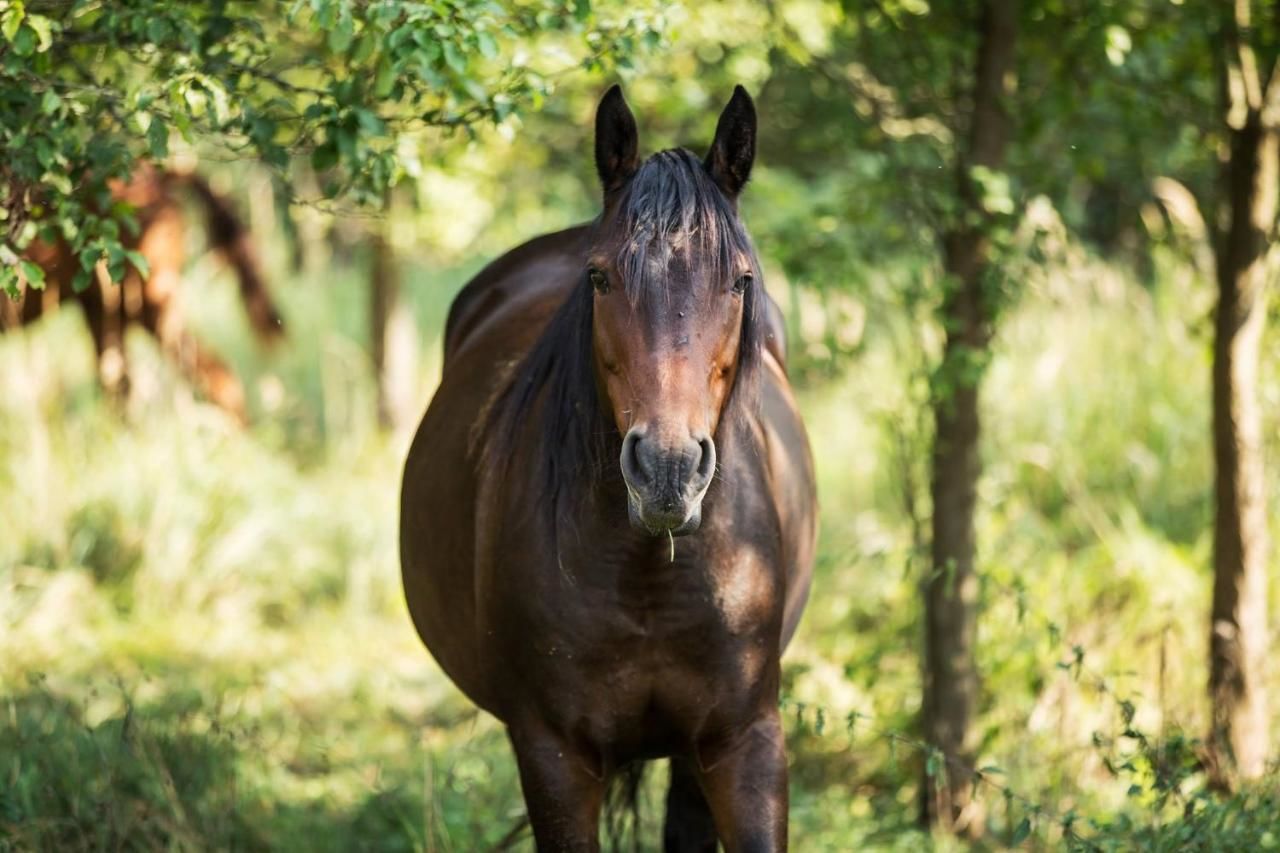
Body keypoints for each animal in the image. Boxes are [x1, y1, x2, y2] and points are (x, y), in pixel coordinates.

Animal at [401, 87, 819, 850]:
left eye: (740, 282)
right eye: (598, 277)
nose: (667, 469)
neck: (648, 571)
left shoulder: (745, 741)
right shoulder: (553, 754)